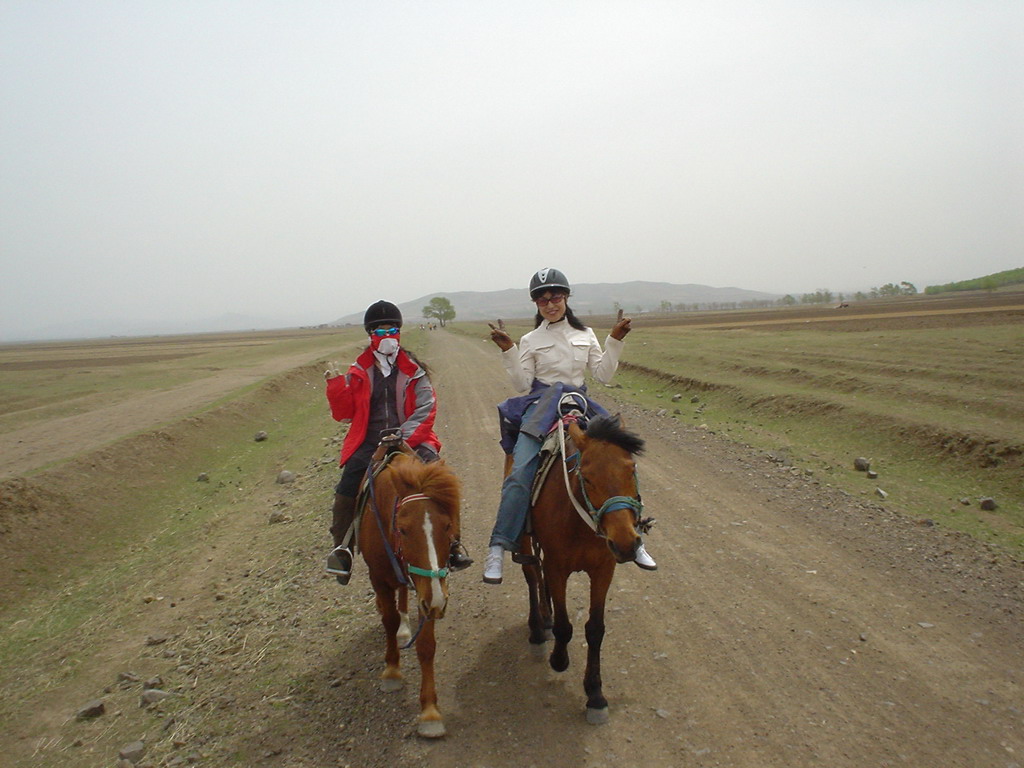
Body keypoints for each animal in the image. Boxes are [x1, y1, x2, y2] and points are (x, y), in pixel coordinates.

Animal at [356, 450, 460, 741]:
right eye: (402, 529)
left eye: (447, 525)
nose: (437, 601)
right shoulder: (380, 579)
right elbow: (388, 621)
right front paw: (392, 671)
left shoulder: (429, 593)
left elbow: (426, 646)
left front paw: (430, 712)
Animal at [520, 411, 647, 724]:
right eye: (586, 478)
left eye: (631, 469)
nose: (626, 543)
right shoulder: (558, 568)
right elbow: (565, 625)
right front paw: (559, 659)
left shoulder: (603, 570)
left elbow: (595, 629)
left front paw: (595, 694)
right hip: (526, 540)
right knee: (532, 576)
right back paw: (538, 632)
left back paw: (546, 617)